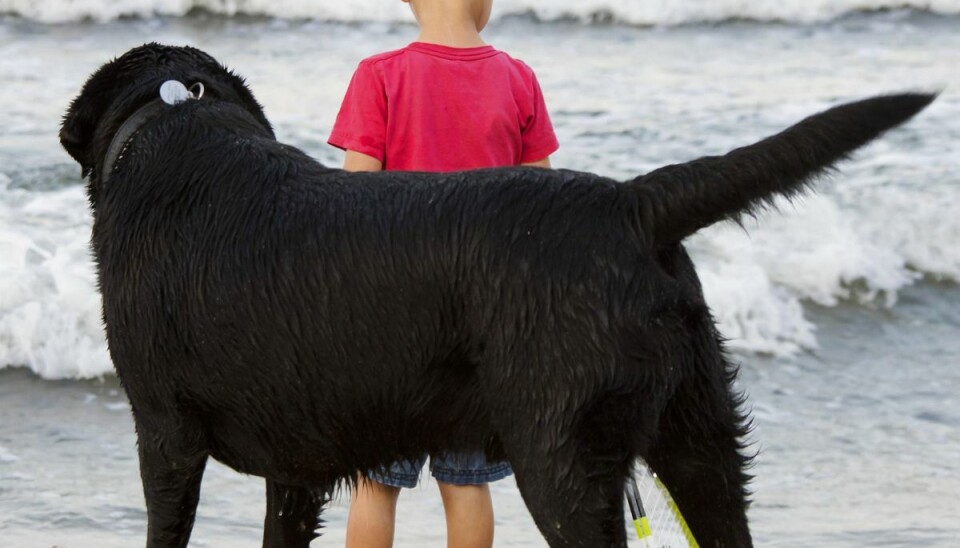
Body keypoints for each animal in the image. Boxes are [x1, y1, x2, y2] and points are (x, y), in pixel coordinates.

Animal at [58, 44, 928, 548]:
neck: (180, 138)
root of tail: (630, 203)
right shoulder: (297, 464)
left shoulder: (163, 433)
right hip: (699, 433)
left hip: (563, 455)